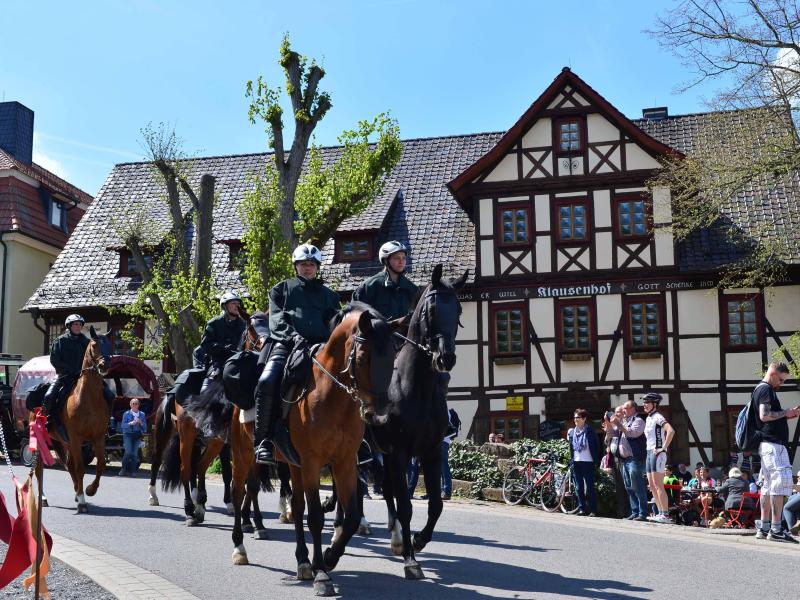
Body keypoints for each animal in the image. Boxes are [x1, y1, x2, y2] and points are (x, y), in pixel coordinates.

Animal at [34, 326, 111, 512]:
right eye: (94, 345)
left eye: (110, 345)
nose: (104, 365)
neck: (88, 398)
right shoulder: (76, 438)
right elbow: (80, 468)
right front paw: (83, 501)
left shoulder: (98, 438)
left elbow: (100, 465)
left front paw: (89, 490)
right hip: (41, 442)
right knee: (39, 470)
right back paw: (44, 498)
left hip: (64, 442)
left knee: (68, 464)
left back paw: (77, 491)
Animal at [370, 264, 466, 580]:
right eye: (432, 309)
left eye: (459, 310)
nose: (445, 358)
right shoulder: (399, 453)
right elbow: (407, 506)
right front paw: (411, 560)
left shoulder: (431, 451)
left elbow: (435, 504)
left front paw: (419, 540)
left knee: (386, 488)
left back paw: (397, 538)